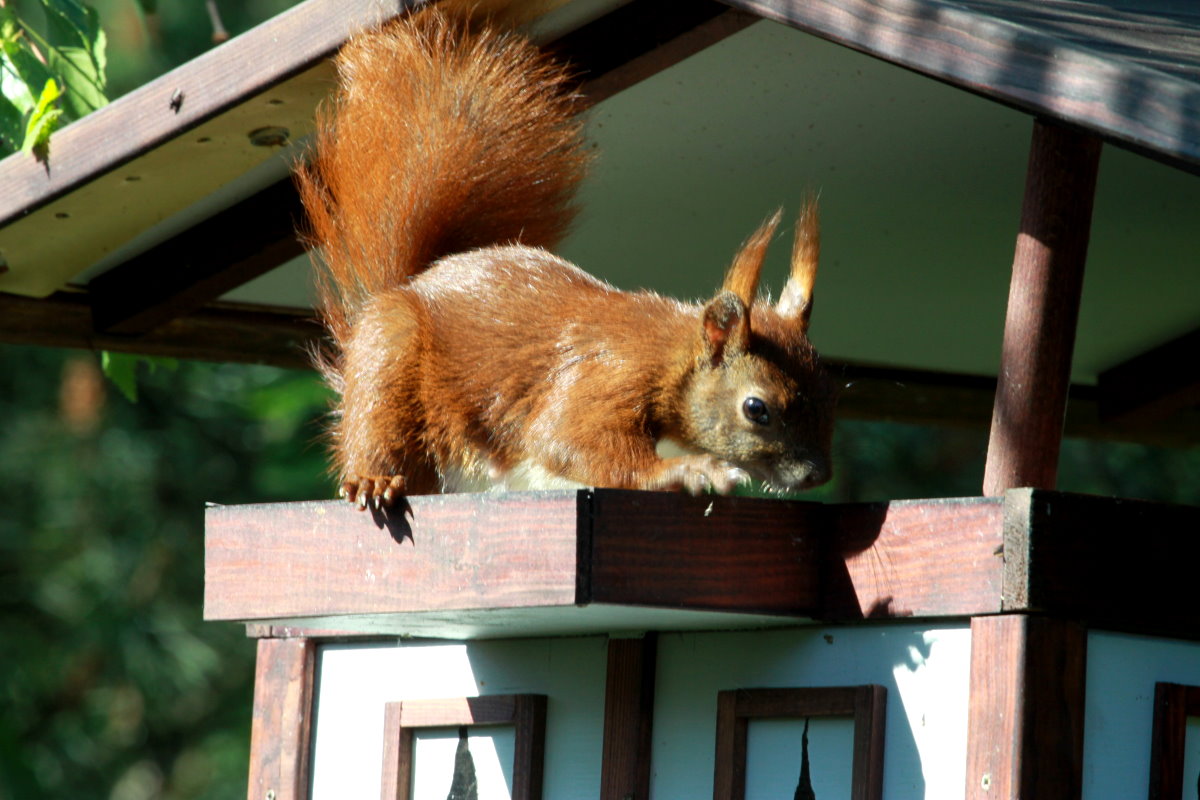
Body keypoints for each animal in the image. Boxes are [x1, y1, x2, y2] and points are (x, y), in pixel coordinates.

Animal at [294, 7, 835, 506]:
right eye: (756, 409)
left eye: (830, 391)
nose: (817, 475)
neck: (673, 360)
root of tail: (414, 281)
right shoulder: (605, 379)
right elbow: (567, 440)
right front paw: (686, 472)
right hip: (390, 358)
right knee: (379, 428)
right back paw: (374, 479)